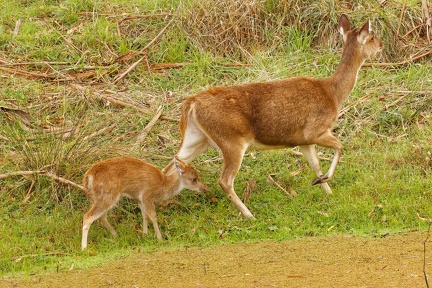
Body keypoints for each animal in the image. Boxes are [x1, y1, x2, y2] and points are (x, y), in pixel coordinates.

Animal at [164, 14, 384, 218]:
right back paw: (249, 214)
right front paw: (325, 181)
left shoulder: (302, 140)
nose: (381, 45)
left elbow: (315, 163)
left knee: (171, 166)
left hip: (196, 138)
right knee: (224, 180)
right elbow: (340, 146)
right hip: (231, 139)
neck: (333, 94)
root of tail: (192, 104)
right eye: (372, 37)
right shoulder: (315, 129)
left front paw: (325, 188)